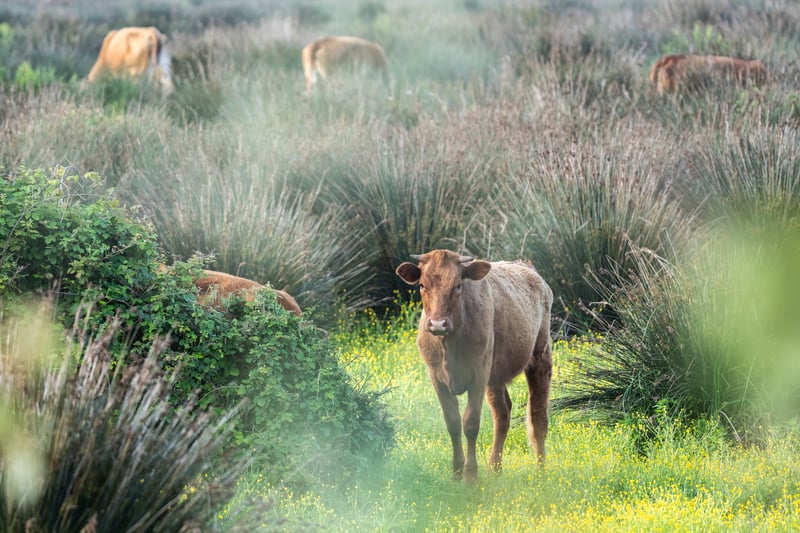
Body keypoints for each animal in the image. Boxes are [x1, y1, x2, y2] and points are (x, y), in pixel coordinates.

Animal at [396, 250, 553, 483]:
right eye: (422, 285)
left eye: (458, 285)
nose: (438, 324)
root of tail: (526, 266)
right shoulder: (436, 377)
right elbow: (452, 422)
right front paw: (456, 473)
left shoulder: (478, 375)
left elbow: (470, 423)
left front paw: (470, 476)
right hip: (495, 376)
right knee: (502, 413)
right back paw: (494, 468)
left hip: (540, 356)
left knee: (538, 414)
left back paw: (541, 470)